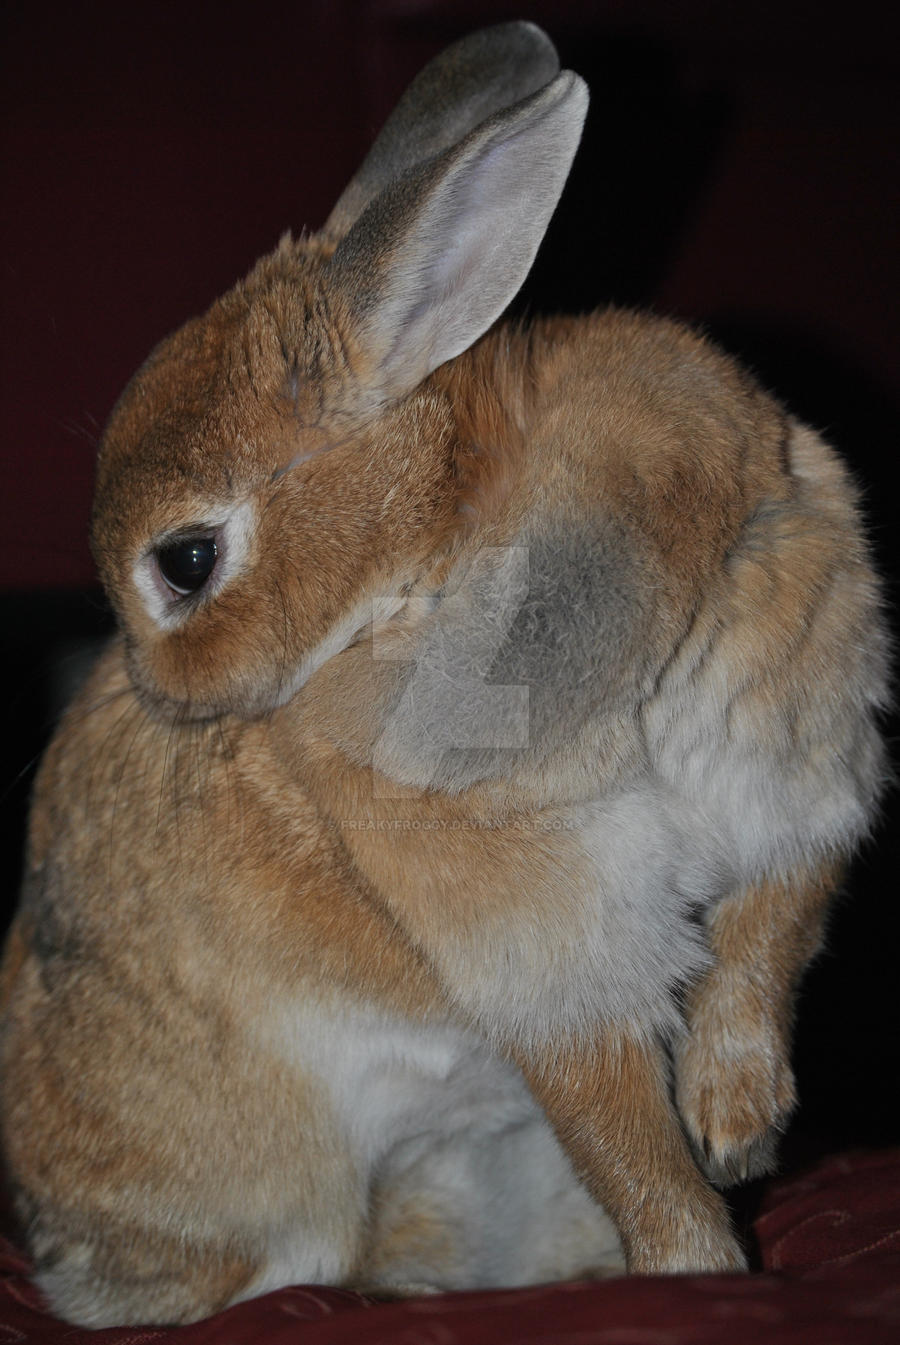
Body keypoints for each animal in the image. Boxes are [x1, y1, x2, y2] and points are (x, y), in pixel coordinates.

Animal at [0, 15, 882, 1328]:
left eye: (185, 561)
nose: (163, 697)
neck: (437, 537)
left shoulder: (792, 788)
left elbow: (762, 954)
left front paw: (738, 1127)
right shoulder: (544, 937)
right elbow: (626, 1135)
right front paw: (700, 1268)